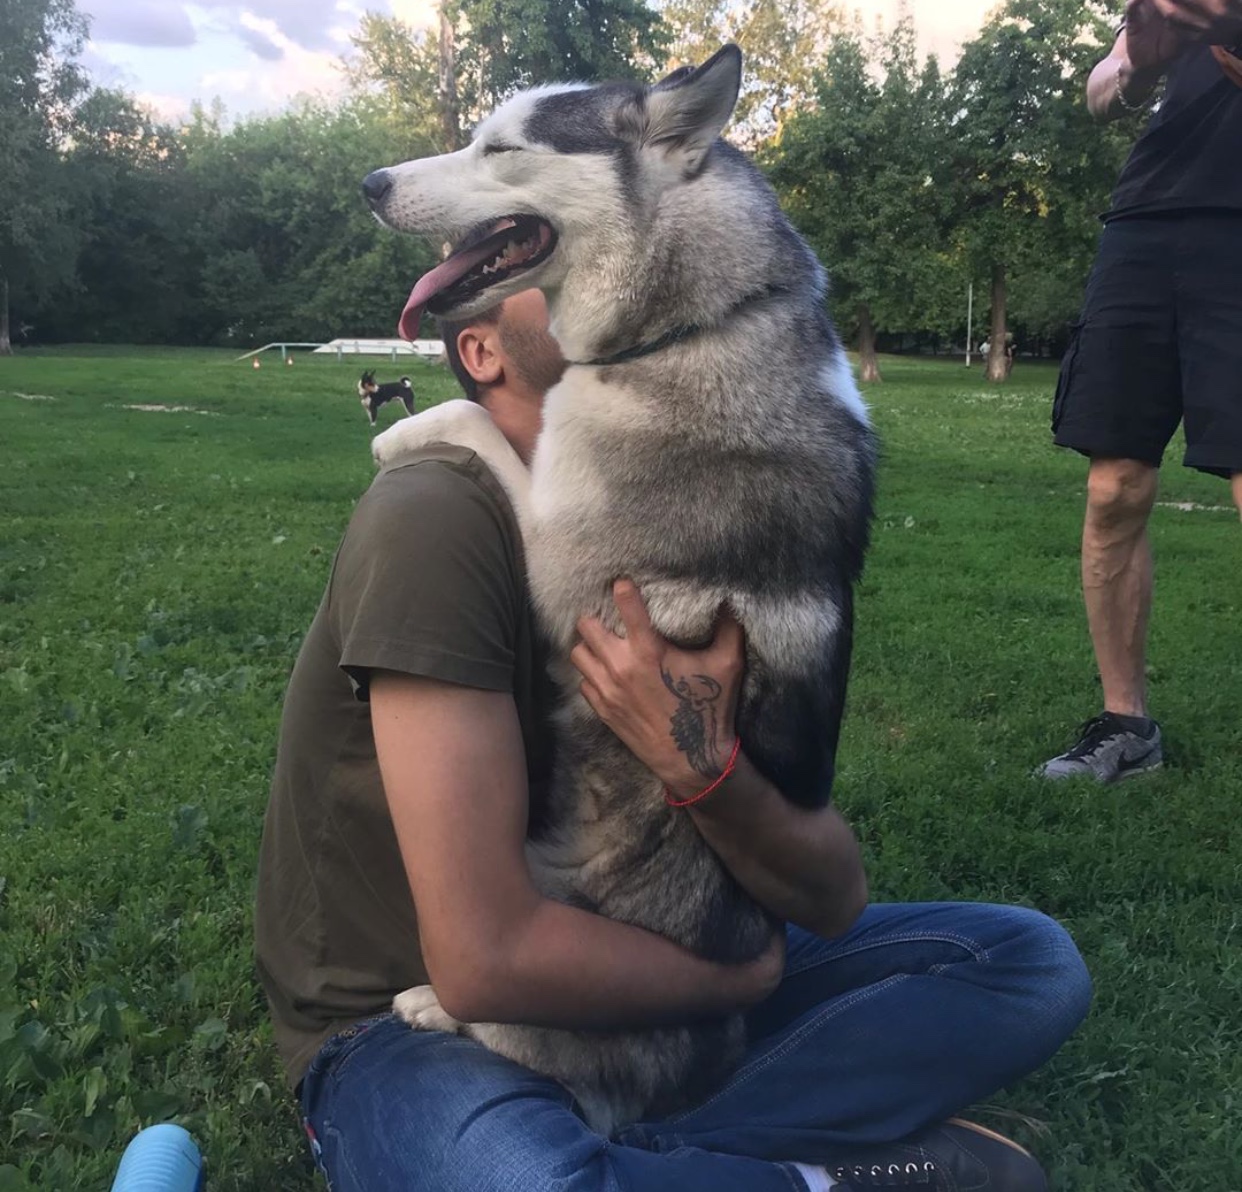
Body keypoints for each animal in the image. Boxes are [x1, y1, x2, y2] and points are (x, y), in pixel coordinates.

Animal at [362, 46, 879, 1142]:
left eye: (500, 147)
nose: (369, 184)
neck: (690, 325)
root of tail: (686, 1087)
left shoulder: (559, 564)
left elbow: (479, 433)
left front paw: (404, 432)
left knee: (515, 1023)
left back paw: (431, 1001)